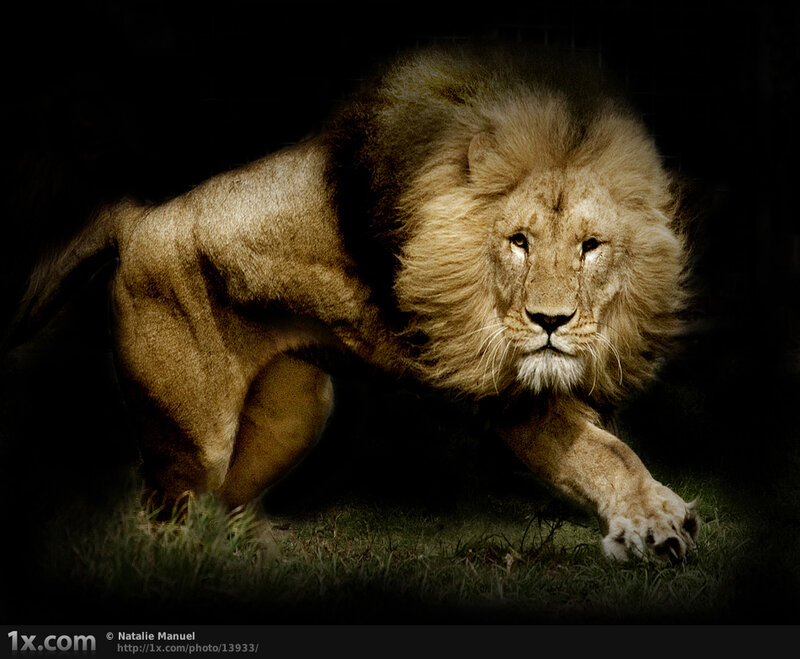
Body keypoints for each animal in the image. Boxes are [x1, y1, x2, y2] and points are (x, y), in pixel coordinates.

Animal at [10, 47, 698, 562]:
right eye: (518, 241)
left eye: (591, 246)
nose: (550, 322)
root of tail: (137, 220)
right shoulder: (504, 391)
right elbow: (602, 452)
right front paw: (655, 521)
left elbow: (608, 443)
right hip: (193, 441)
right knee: (162, 524)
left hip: (295, 411)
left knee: (222, 506)